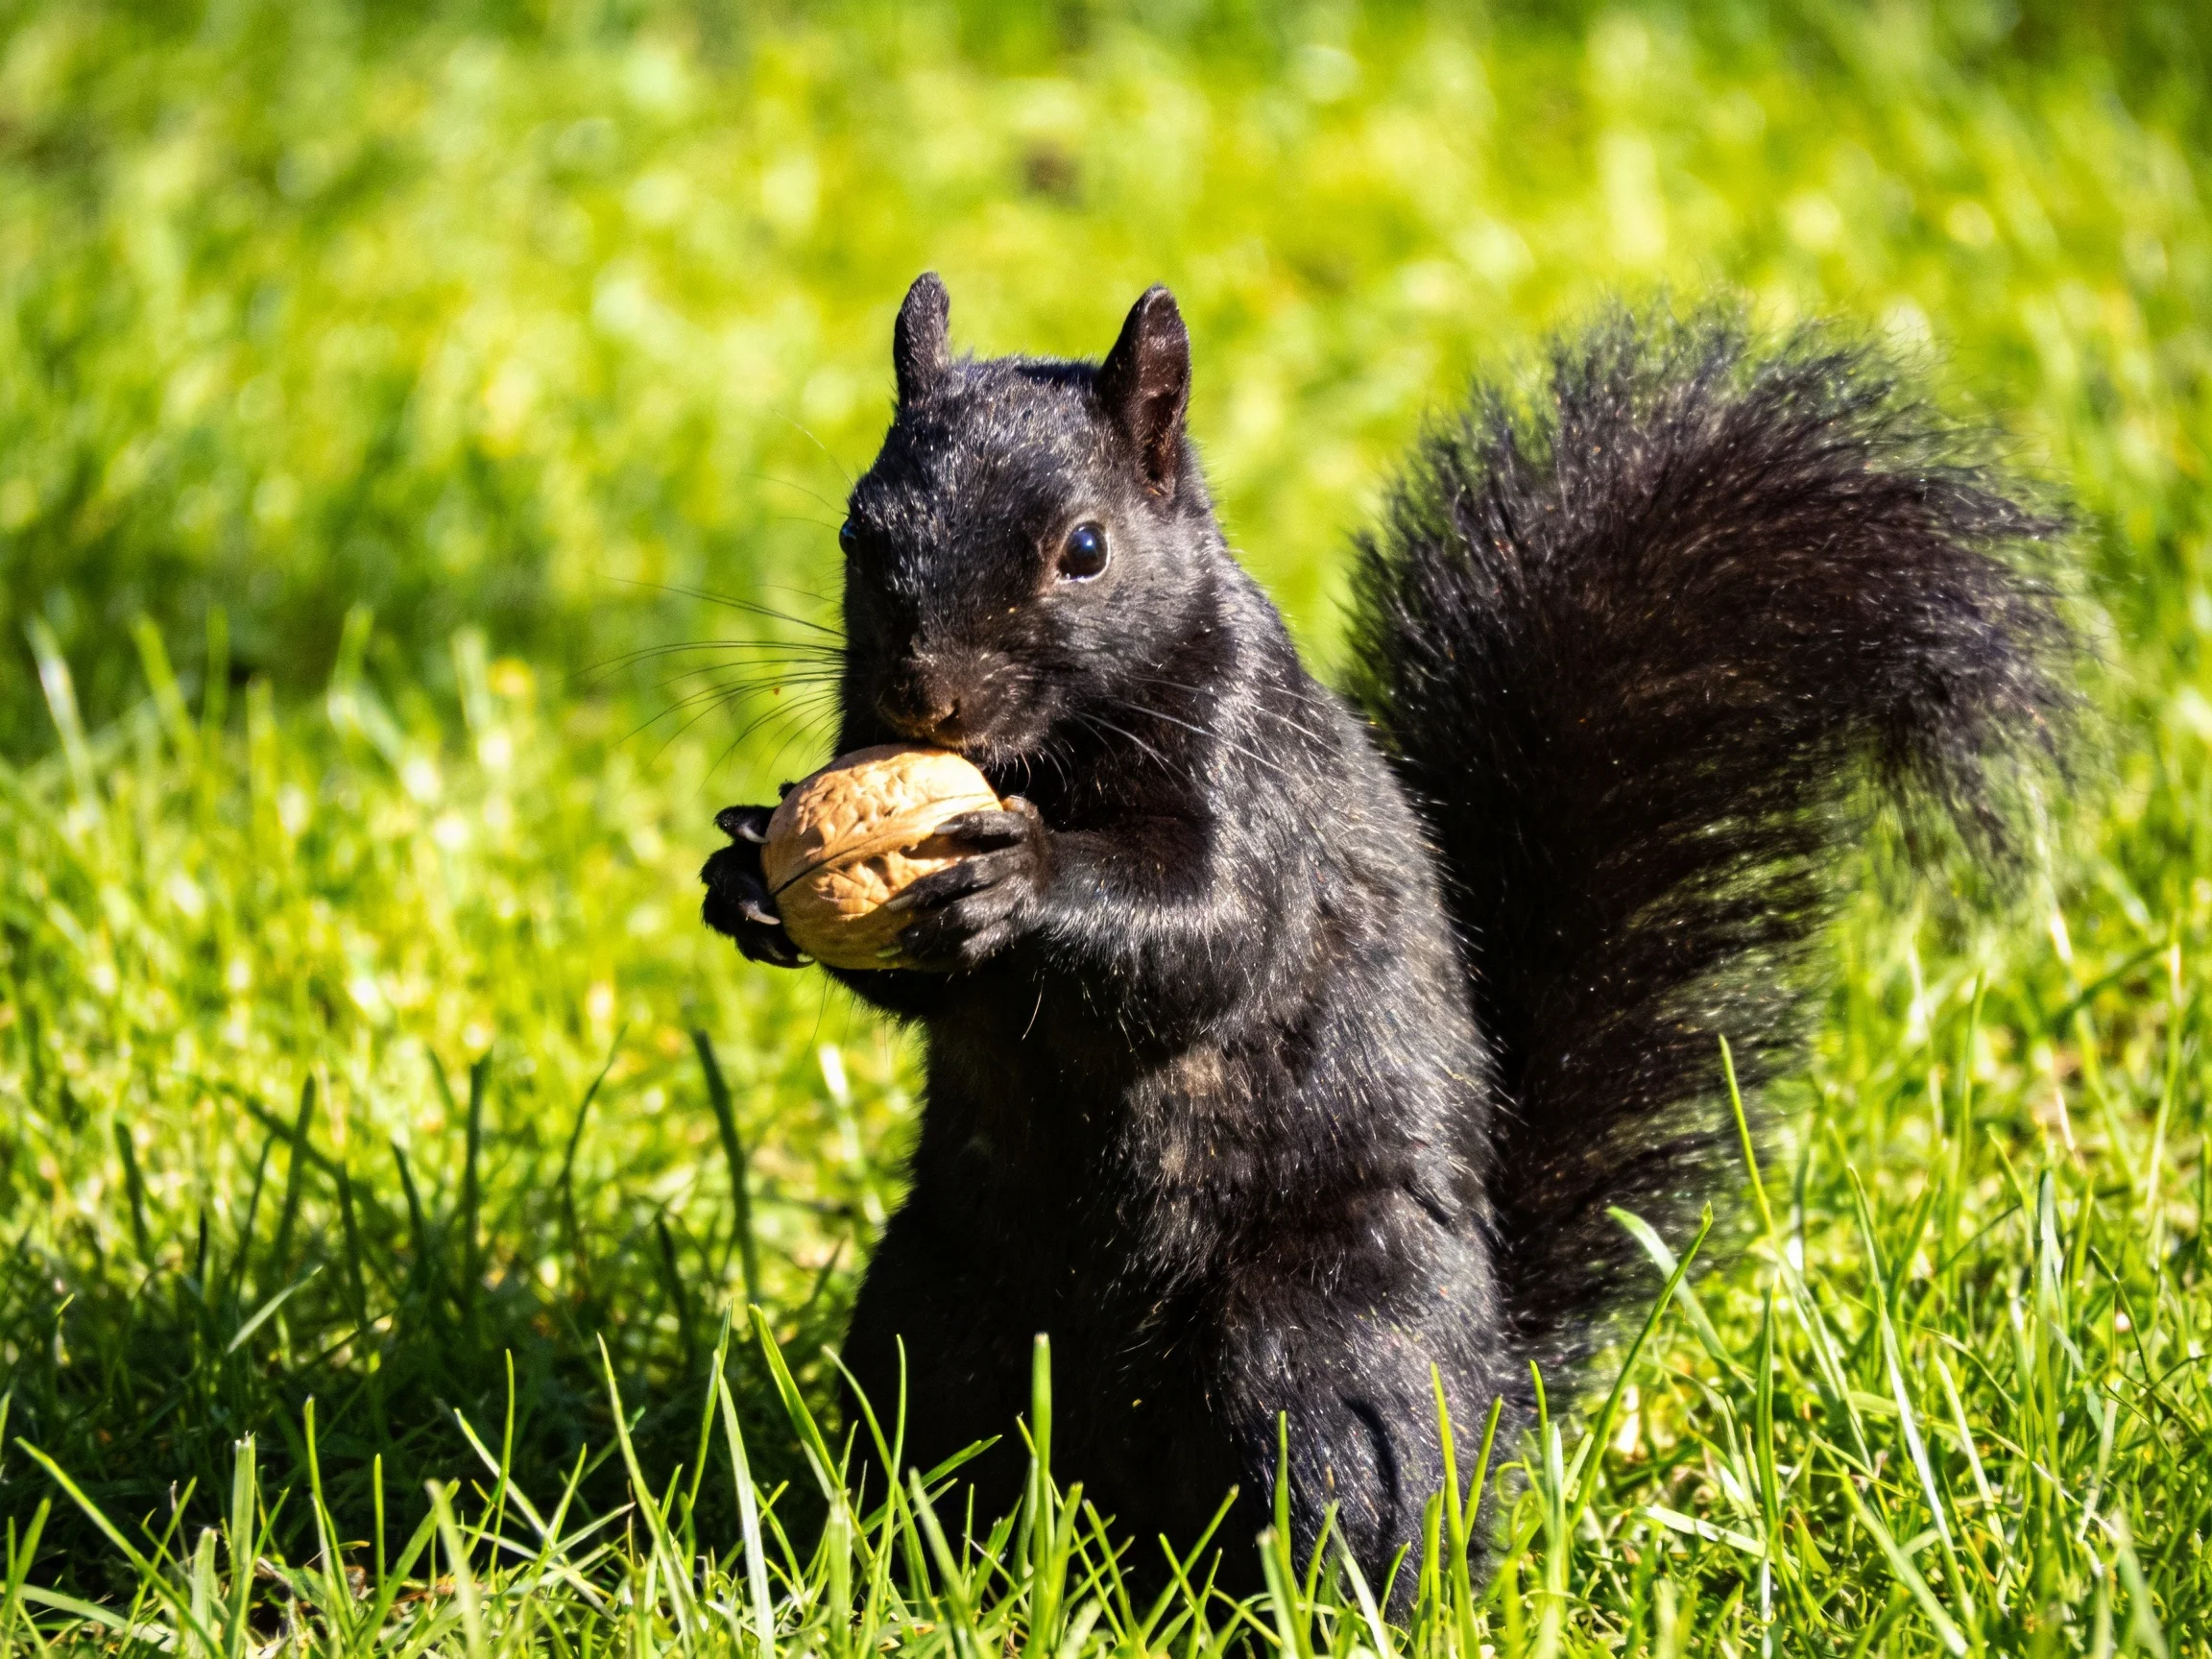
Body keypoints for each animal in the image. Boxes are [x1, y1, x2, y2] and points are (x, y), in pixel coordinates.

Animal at [700, 274, 2076, 1602]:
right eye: (856, 533)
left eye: (1084, 550)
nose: (920, 696)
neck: (1043, 757)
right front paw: (748, 874)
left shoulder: (1257, 782)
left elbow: (1209, 933)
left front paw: (1018, 878)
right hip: (935, 1315)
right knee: (944, 1447)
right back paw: (909, 1573)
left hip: (1322, 1349)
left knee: (1343, 1492)